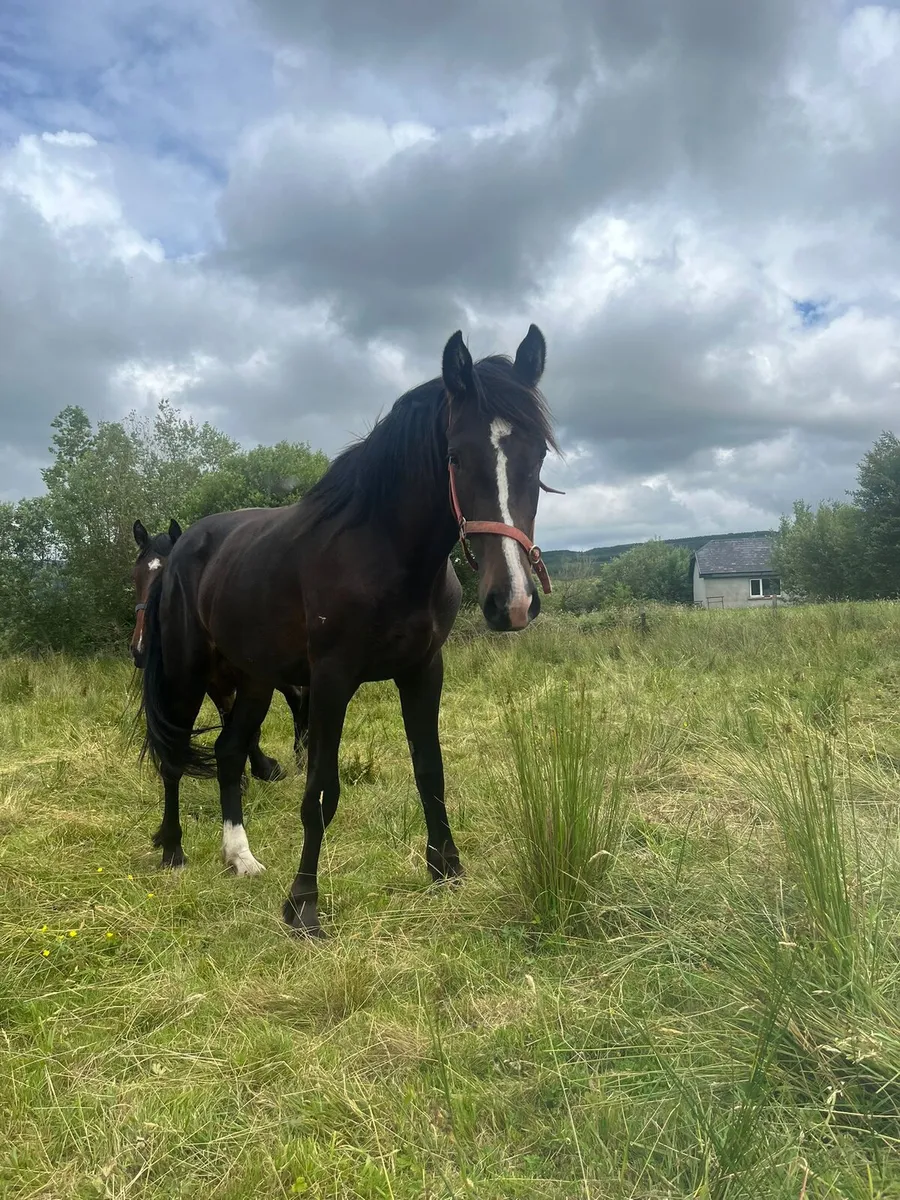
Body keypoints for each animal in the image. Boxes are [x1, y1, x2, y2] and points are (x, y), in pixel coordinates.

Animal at [131, 517, 309, 786]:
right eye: (136, 577)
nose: (140, 649)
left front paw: (266, 769)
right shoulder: (215, 684)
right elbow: (230, 721)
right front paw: (246, 776)